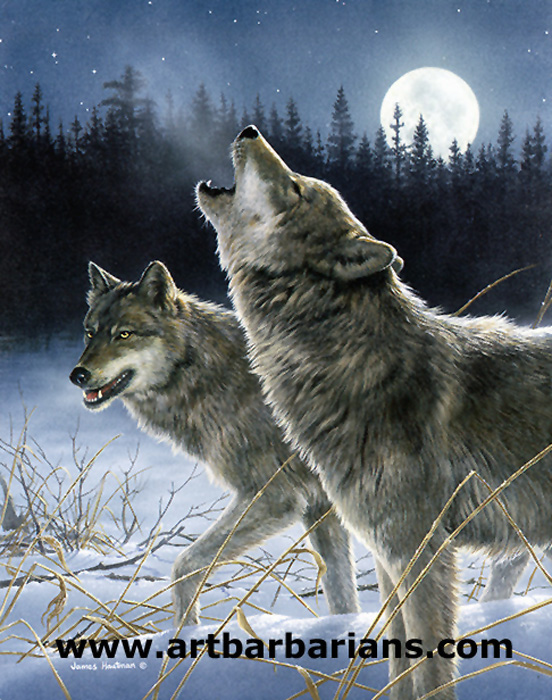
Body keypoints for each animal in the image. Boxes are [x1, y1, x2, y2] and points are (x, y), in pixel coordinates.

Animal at [69, 260, 360, 626]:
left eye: (124, 334)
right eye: (90, 332)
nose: (77, 375)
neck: (207, 375)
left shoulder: (276, 498)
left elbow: (184, 565)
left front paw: (187, 629)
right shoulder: (320, 506)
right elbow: (342, 596)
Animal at [196, 125, 552, 699]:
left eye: (296, 188)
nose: (249, 130)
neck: (357, 368)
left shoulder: (423, 555)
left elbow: (431, 675)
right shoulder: (388, 558)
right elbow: (399, 664)